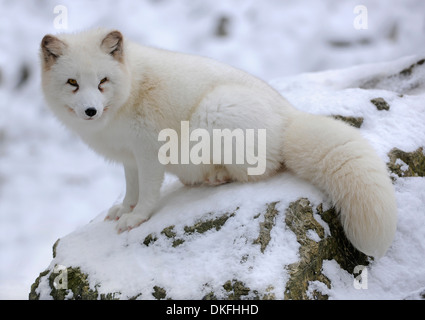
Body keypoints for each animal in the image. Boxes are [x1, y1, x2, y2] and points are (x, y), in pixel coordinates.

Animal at [39, 28, 398, 258]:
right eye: (72, 83)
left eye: (103, 81)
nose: (90, 110)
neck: (130, 90)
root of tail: (288, 116)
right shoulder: (129, 156)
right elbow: (130, 187)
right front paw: (123, 209)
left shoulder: (149, 149)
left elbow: (148, 191)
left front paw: (137, 217)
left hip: (213, 112)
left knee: (263, 170)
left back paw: (218, 176)